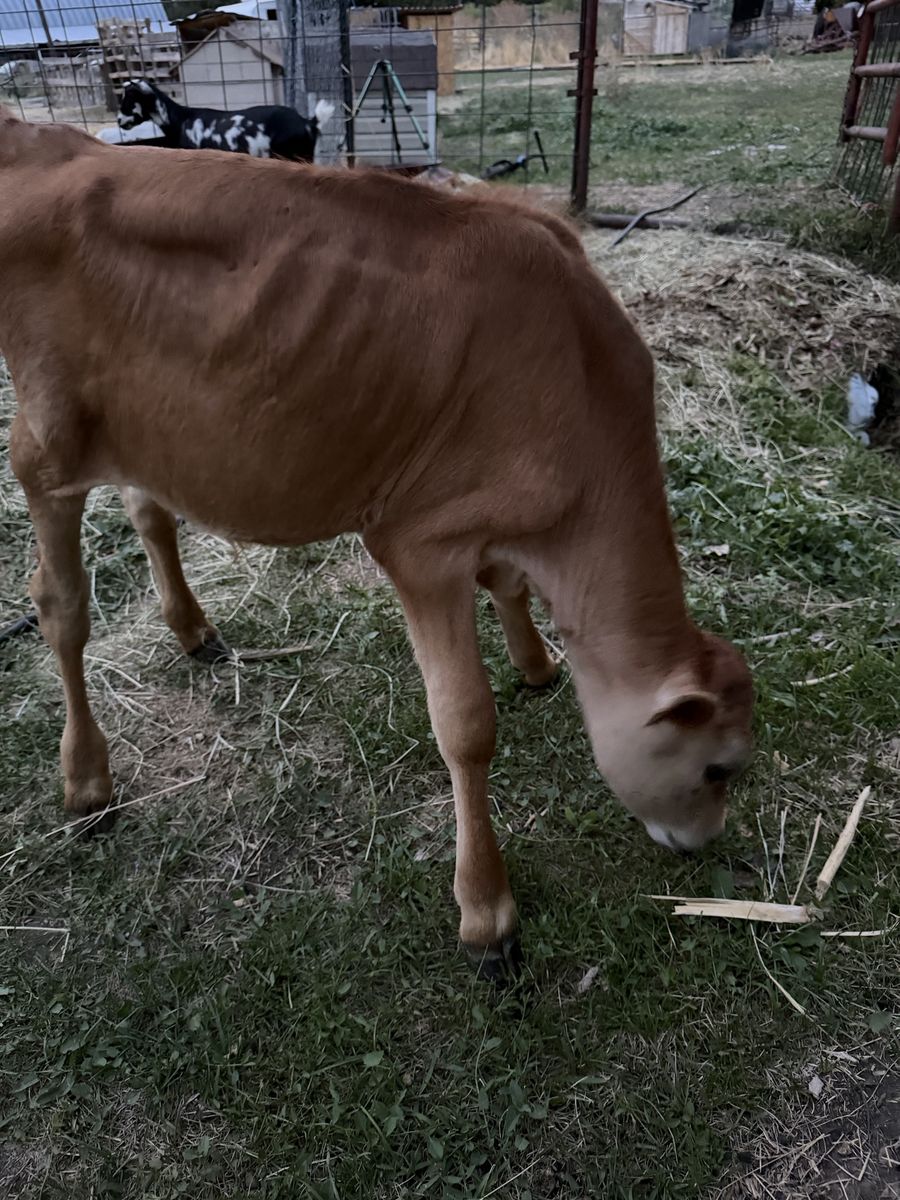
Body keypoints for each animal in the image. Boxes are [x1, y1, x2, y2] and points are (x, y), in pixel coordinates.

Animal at [0, 112, 753, 980]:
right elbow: (466, 724)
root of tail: (46, 141)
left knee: (148, 507)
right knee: (60, 605)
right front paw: (487, 913)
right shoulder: (418, 540)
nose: (705, 842)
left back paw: (191, 627)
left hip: (148, 426)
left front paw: (537, 664)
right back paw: (88, 781)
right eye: (716, 768)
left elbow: (510, 587)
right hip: (48, 438)